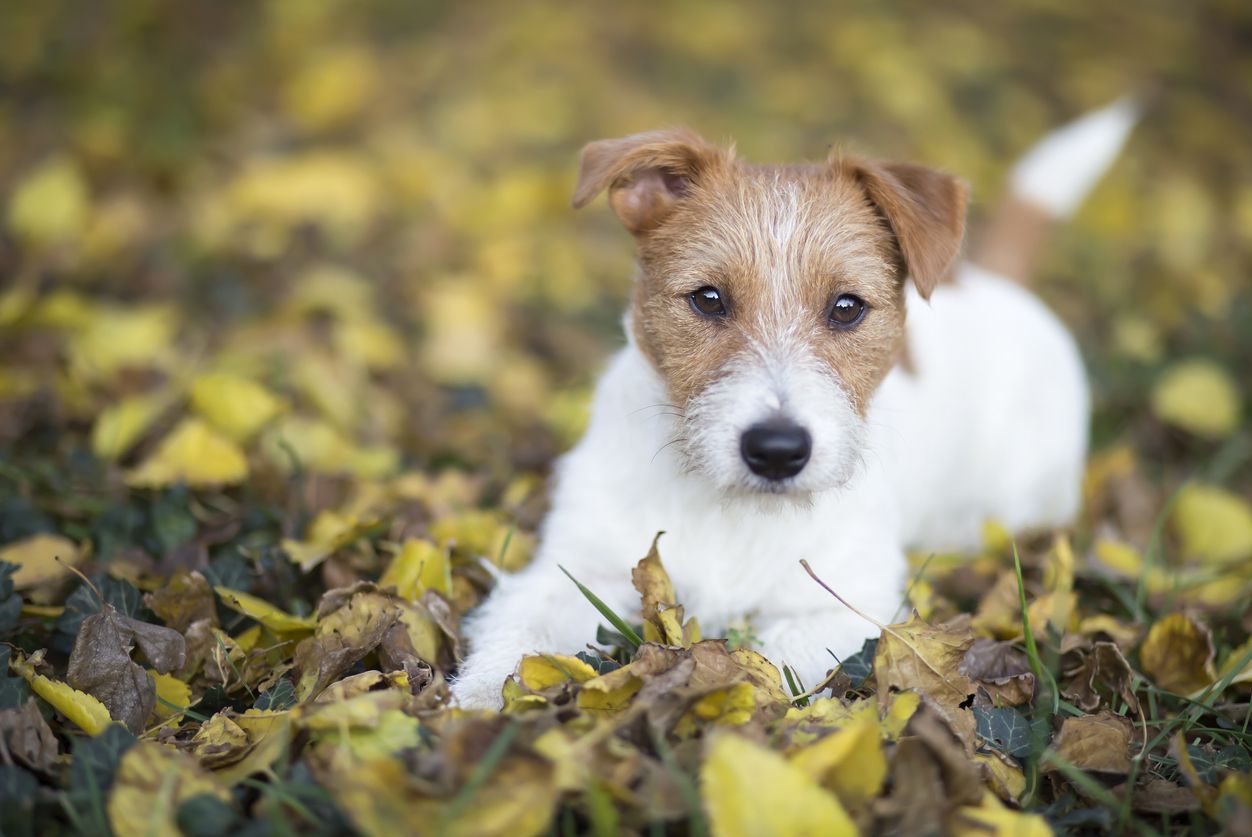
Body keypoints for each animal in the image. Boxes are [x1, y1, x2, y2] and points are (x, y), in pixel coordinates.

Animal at [455, 101, 1141, 710]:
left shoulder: (843, 605)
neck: (733, 510)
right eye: (707, 298)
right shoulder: (574, 567)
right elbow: (523, 634)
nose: (778, 451)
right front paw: (484, 700)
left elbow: (761, 661)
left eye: (847, 307)